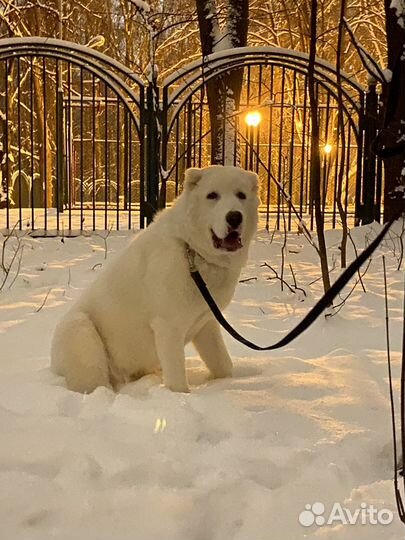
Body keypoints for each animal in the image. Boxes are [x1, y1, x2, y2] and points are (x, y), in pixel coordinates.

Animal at [51, 165, 258, 392]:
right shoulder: (168, 326)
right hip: (80, 329)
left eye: (241, 195)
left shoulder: (206, 324)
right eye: (212, 195)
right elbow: (177, 378)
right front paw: (180, 396)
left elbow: (222, 363)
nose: (234, 217)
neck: (192, 251)